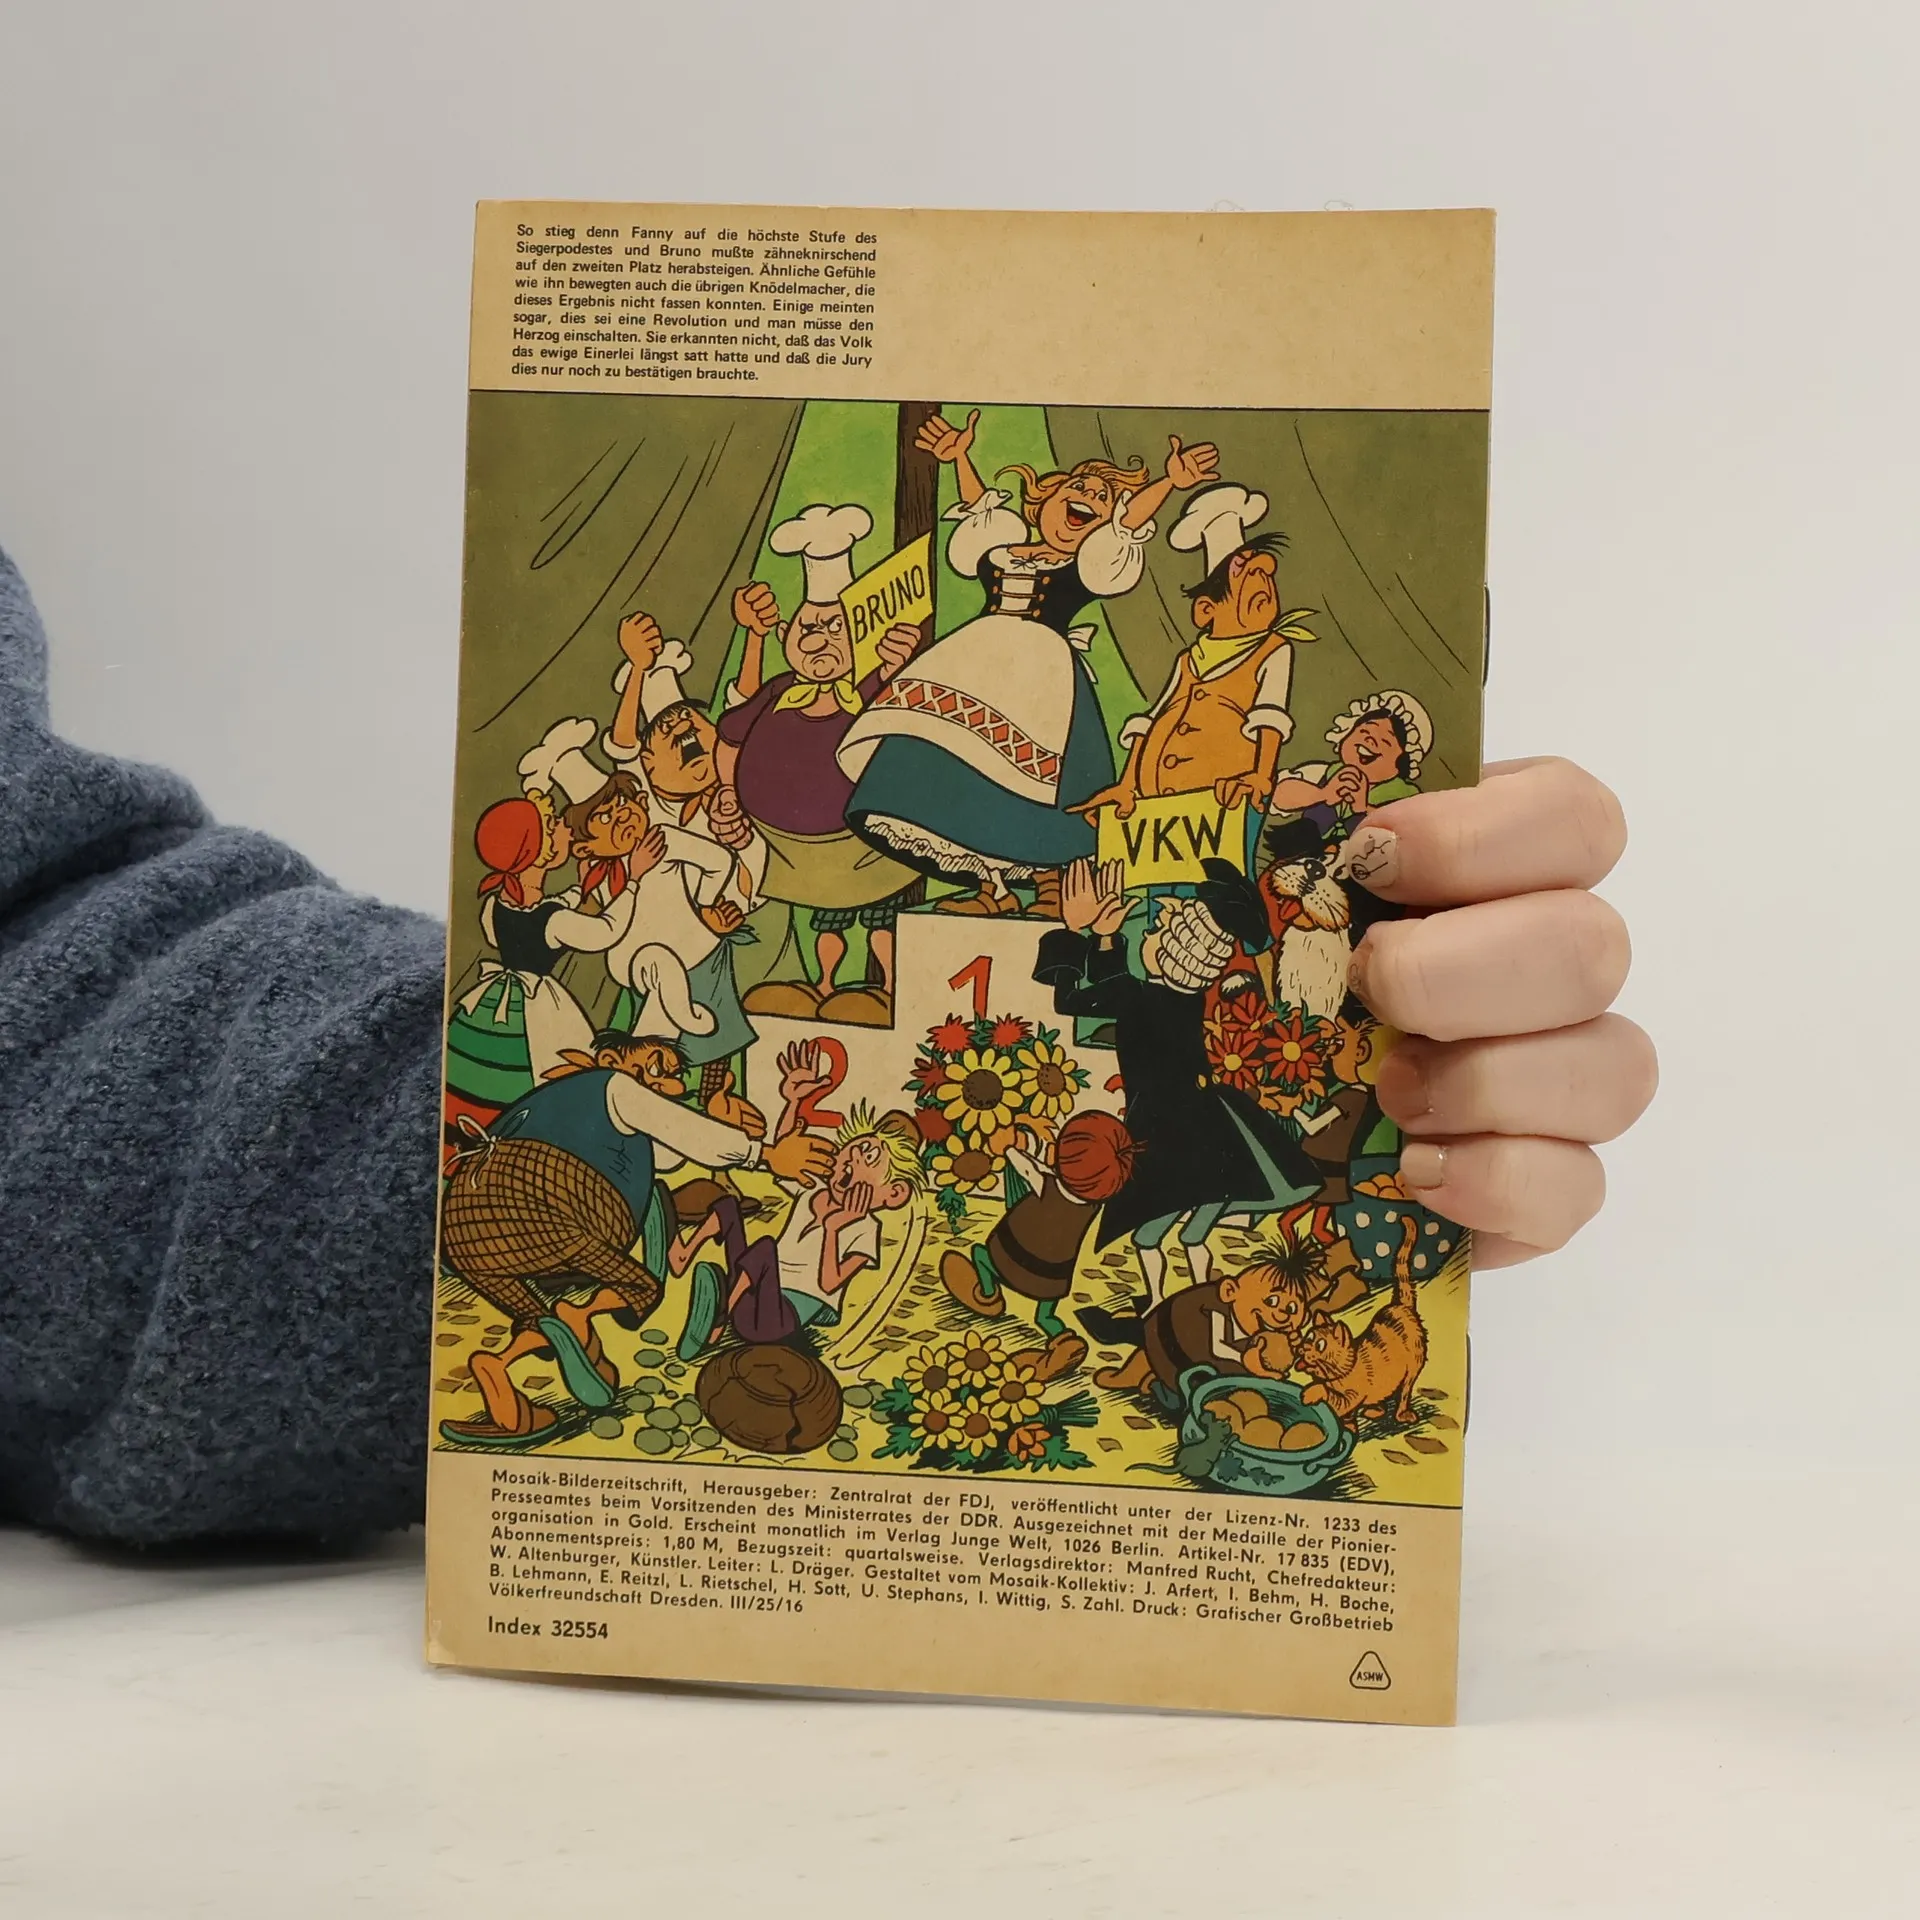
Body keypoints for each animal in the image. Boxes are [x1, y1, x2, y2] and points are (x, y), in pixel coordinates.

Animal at [1295, 1213, 1427, 1426]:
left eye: (1320, 1345)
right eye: (1308, 1338)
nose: (1301, 1349)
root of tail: (1401, 1304)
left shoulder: (1350, 1397)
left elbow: (1334, 1399)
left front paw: (1312, 1392)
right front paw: (1348, 1424)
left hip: (1414, 1365)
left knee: (1405, 1390)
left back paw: (1401, 1414)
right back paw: (1375, 1410)